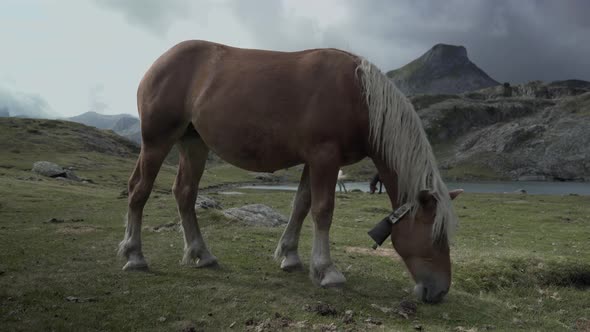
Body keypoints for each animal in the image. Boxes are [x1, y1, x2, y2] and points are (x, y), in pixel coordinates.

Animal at [119, 39, 462, 304]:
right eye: (436, 235)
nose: (440, 291)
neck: (359, 96)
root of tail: (161, 62)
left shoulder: (313, 161)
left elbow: (301, 205)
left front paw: (291, 256)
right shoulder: (325, 157)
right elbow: (323, 210)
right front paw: (327, 270)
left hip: (194, 144)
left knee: (185, 193)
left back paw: (201, 254)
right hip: (157, 141)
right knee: (139, 190)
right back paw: (134, 254)